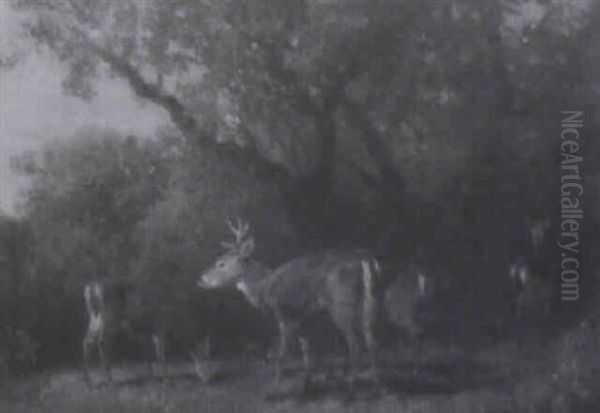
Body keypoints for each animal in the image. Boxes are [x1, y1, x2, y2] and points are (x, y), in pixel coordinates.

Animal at [199, 216, 382, 392]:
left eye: (221, 263)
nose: (201, 278)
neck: (264, 287)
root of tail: (363, 260)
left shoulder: (285, 313)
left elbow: (281, 355)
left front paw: (274, 390)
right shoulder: (303, 317)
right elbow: (307, 352)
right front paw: (306, 386)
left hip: (342, 303)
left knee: (356, 345)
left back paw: (352, 388)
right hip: (369, 302)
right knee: (372, 341)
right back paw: (376, 385)